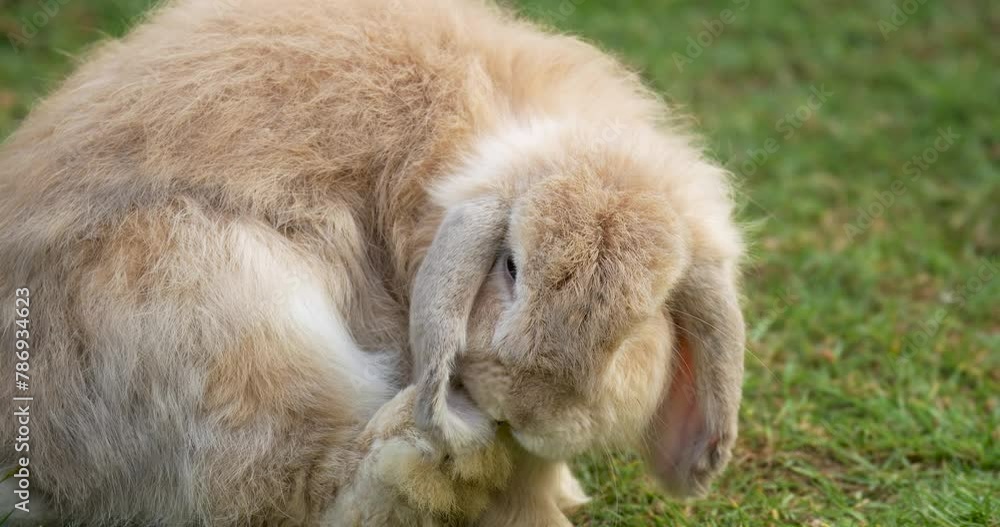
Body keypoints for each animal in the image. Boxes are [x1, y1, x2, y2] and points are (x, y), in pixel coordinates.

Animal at [0, 0, 746, 524]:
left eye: (646, 316)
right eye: (510, 266)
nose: (529, 406)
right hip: (220, 312)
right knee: (293, 487)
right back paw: (426, 454)